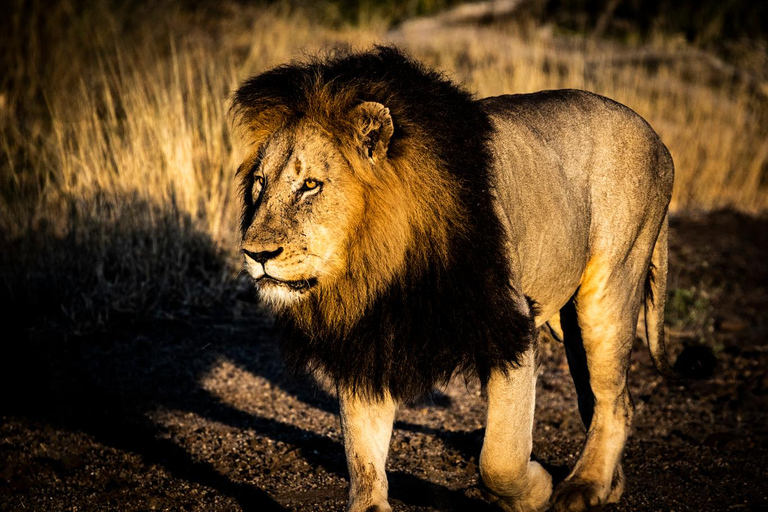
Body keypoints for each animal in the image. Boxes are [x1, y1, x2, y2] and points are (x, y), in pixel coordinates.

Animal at [231, 46, 676, 510]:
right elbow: (362, 456)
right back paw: (608, 486)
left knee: (613, 401)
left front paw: (535, 490)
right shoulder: (367, 341)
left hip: (608, 293)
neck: (380, 264)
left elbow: (500, 457)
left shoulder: (509, 324)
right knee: (601, 396)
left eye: (310, 185)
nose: (255, 253)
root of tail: (655, 136)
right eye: (259, 183)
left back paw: (582, 486)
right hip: (567, 323)